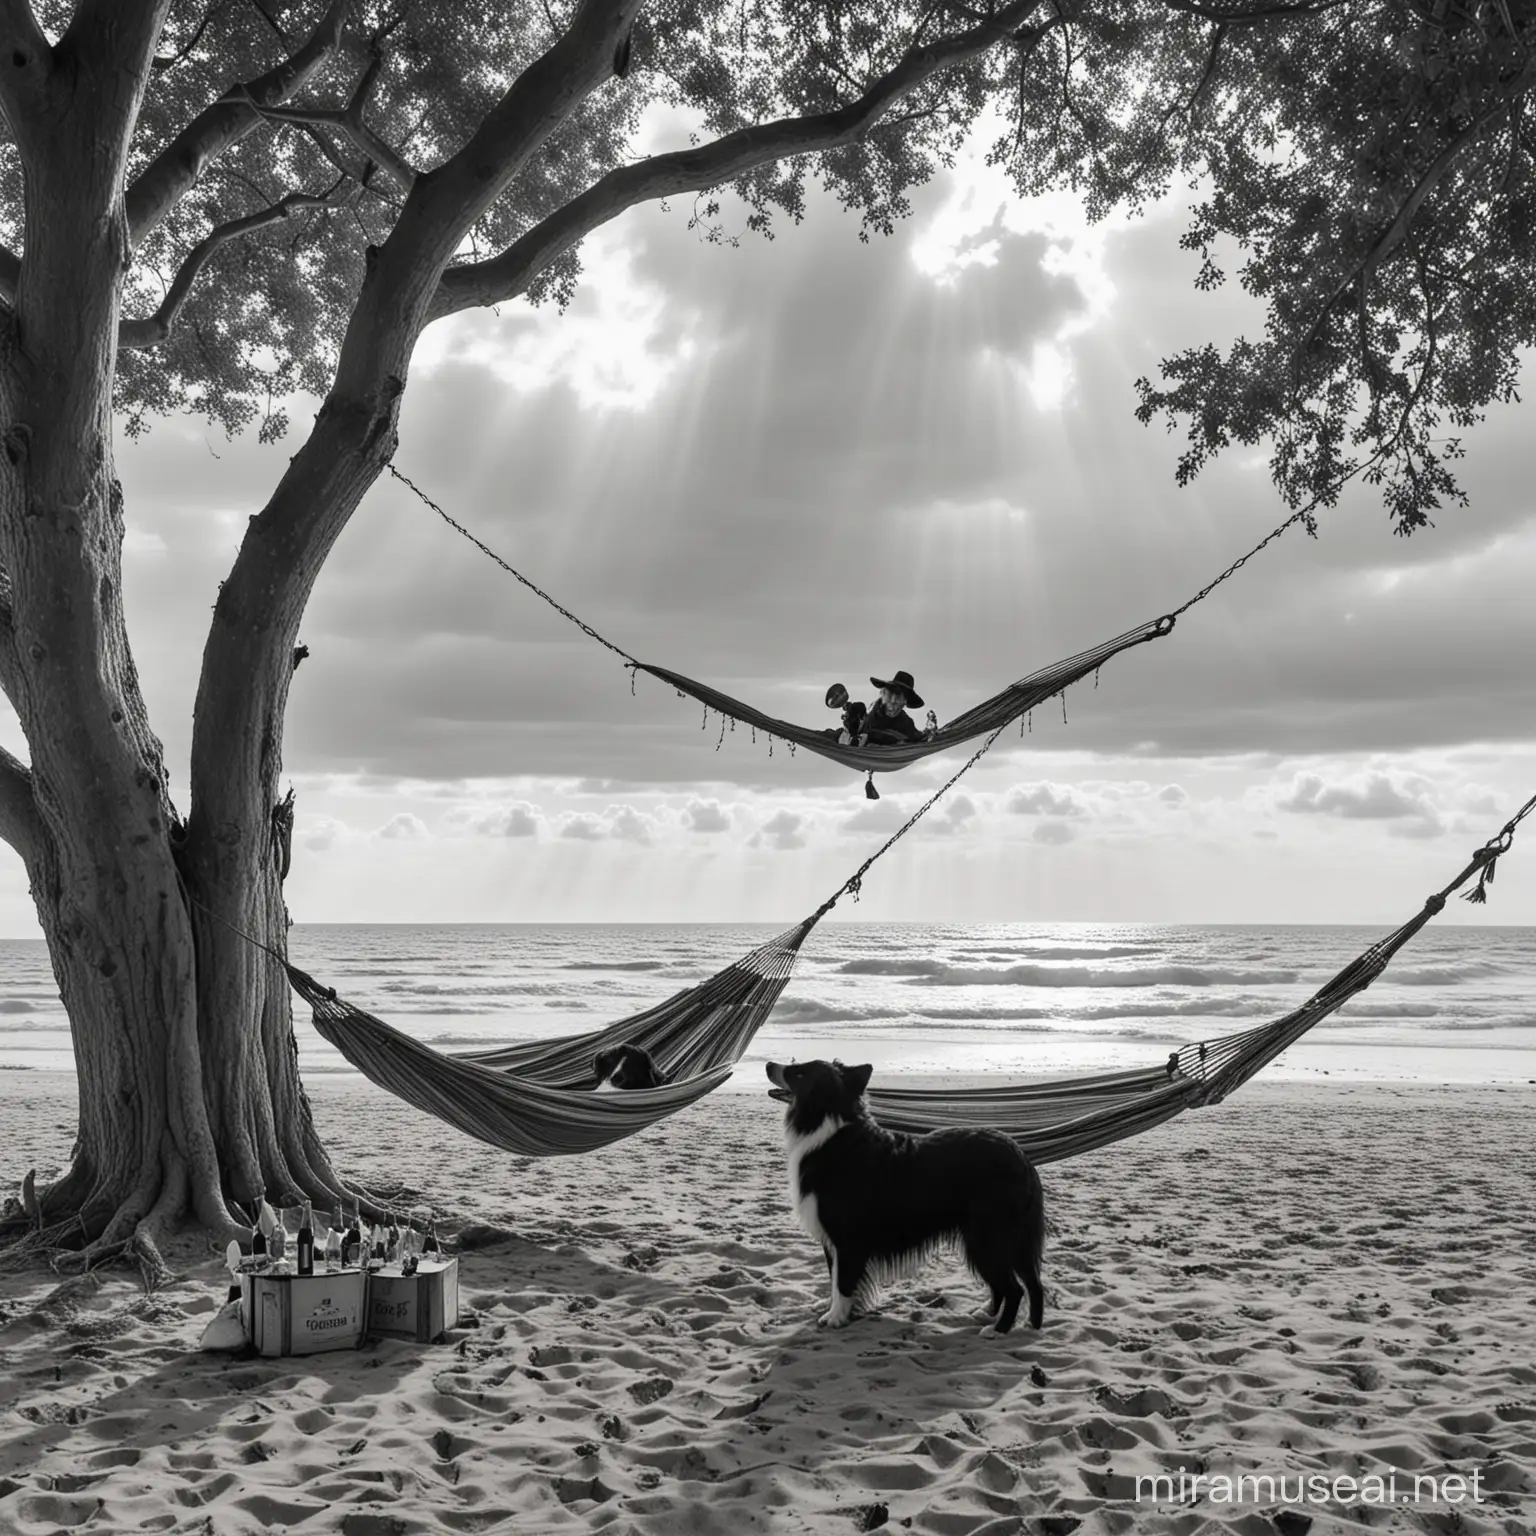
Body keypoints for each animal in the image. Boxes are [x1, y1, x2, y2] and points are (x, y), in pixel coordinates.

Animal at [764, 1056, 1044, 1333]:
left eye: (798, 1072)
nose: (768, 1065)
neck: (826, 1118)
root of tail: (1020, 1155)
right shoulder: (833, 1242)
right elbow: (834, 1278)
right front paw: (833, 1307)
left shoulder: (847, 1240)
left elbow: (842, 1282)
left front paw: (835, 1317)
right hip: (999, 1239)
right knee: (1027, 1283)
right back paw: (1004, 1318)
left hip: (985, 1236)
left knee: (1014, 1288)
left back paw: (998, 1329)